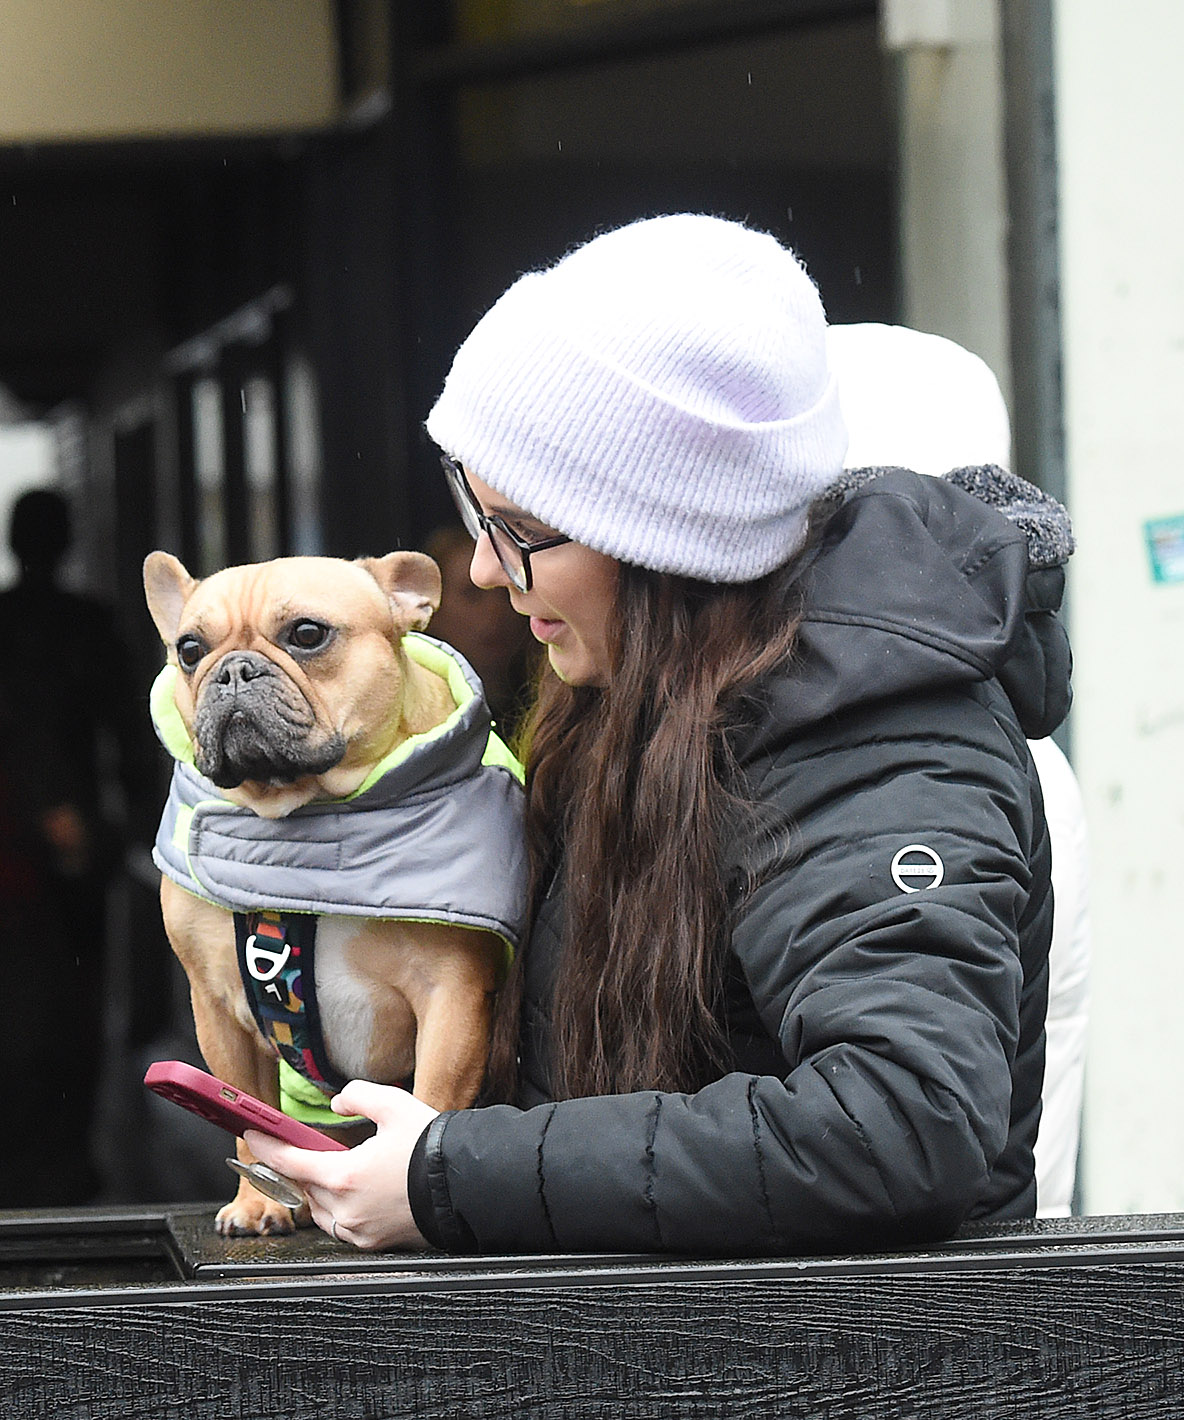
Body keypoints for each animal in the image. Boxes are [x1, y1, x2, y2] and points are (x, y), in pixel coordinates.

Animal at [143, 551, 527, 1236]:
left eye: (307, 634)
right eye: (189, 649)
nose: (233, 670)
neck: (304, 821)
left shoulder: (451, 997)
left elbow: (432, 1093)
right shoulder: (217, 1009)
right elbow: (250, 1114)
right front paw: (260, 1202)